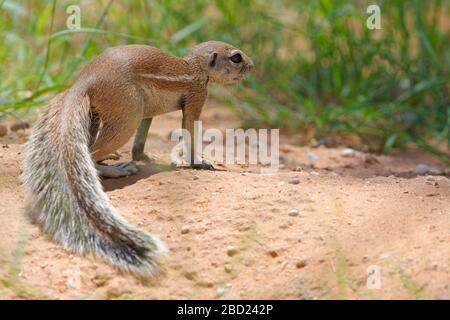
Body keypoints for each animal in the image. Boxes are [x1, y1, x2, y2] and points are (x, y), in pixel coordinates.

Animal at [22, 41, 253, 276]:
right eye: (236, 57)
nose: (252, 66)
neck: (195, 66)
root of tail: (85, 79)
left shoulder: (149, 112)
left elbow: (140, 142)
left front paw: (147, 157)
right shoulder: (196, 95)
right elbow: (190, 130)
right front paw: (200, 163)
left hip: (103, 114)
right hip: (128, 115)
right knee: (92, 154)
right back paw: (117, 169)